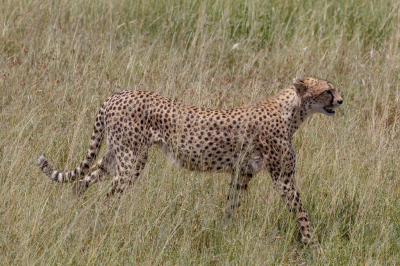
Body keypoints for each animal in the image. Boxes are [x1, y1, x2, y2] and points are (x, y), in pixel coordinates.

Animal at [38, 76, 344, 243]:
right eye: (327, 90)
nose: (341, 100)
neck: (293, 110)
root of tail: (117, 94)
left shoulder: (242, 172)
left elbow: (232, 204)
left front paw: (223, 232)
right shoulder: (283, 178)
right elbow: (302, 213)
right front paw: (313, 244)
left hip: (117, 153)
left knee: (83, 182)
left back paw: (76, 214)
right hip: (132, 160)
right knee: (109, 196)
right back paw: (104, 227)